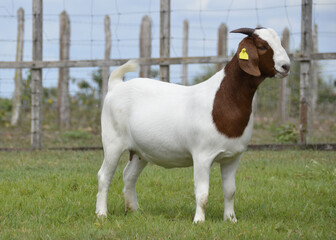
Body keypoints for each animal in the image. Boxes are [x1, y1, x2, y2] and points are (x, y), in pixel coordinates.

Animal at [96, 27, 290, 223]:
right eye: (262, 46)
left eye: (279, 42)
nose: (286, 66)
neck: (223, 99)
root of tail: (116, 86)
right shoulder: (202, 156)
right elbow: (202, 193)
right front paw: (199, 221)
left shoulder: (233, 157)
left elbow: (230, 191)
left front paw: (230, 220)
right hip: (112, 142)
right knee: (104, 175)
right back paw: (102, 214)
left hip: (140, 151)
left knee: (129, 175)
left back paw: (134, 211)